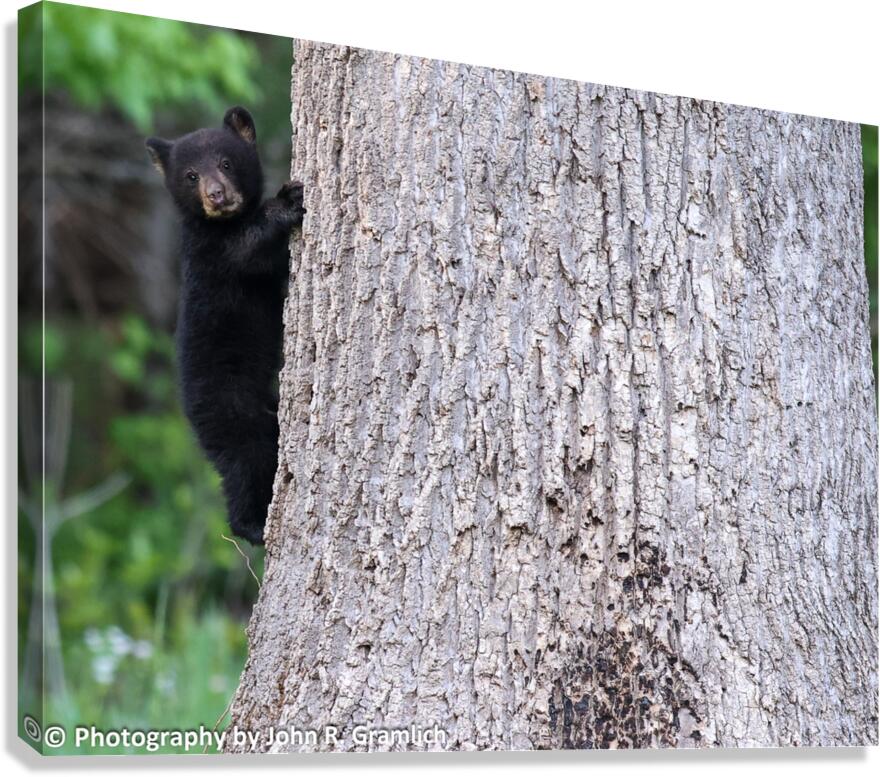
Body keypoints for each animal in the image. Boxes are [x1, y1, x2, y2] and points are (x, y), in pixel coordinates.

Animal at [146, 106, 304, 545]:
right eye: (190, 175)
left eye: (226, 163)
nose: (216, 195)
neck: (221, 223)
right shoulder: (213, 254)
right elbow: (247, 250)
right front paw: (287, 201)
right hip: (230, 407)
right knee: (245, 460)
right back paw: (252, 526)